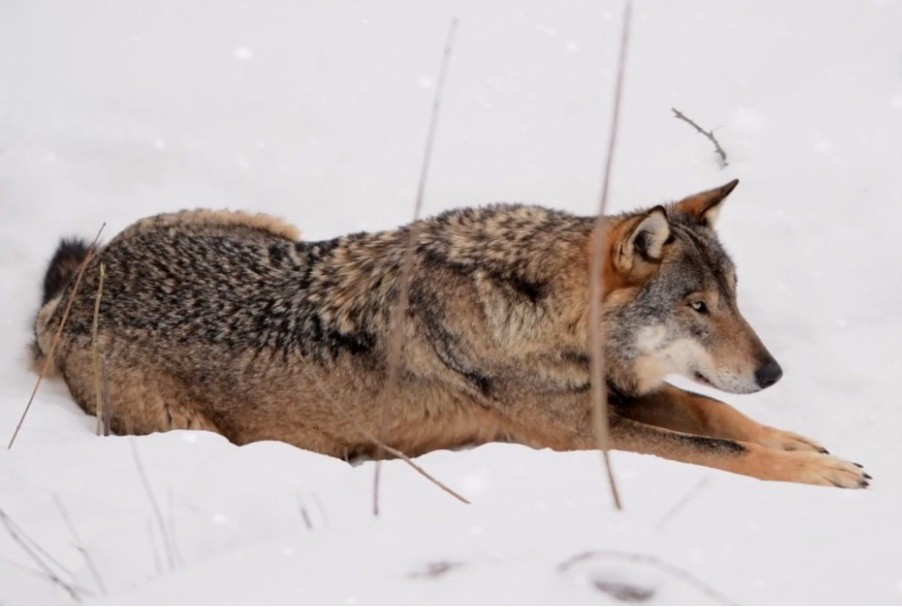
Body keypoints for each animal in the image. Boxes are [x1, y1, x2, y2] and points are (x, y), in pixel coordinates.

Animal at [31, 180, 868, 488]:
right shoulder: (582, 434)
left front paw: (802, 442)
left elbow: (718, 412)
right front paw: (818, 472)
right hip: (186, 429)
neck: (535, 310)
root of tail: (75, 294)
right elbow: (721, 445)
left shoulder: (612, 396)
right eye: (697, 306)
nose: (773, 372)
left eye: (732, 297)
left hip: (281, 226)